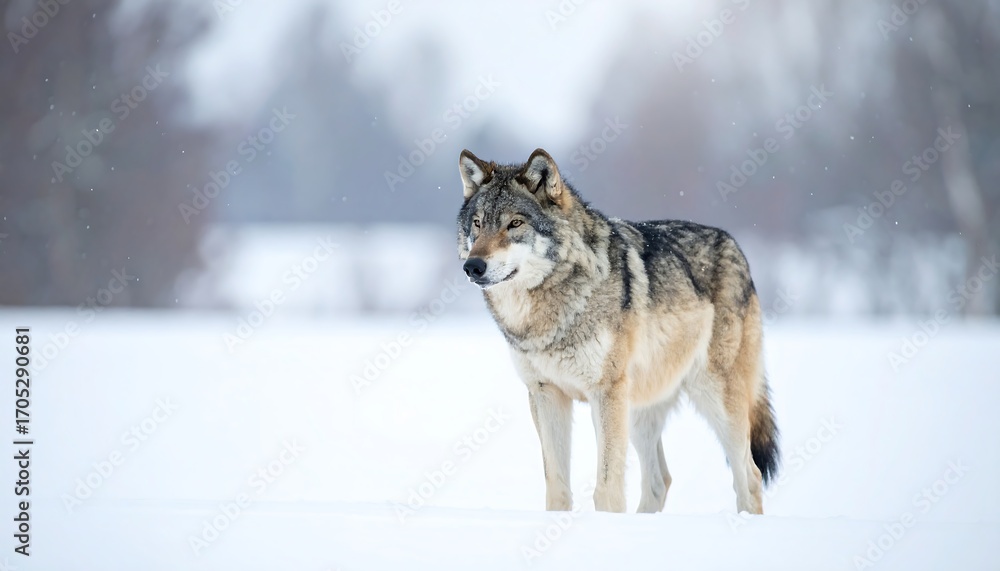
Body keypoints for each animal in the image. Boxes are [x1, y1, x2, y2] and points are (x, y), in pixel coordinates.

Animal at [455, 148, 779, 514]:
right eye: (477, 224)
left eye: (515, 224)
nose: (472, 266)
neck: (544, 316)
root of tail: (735, 245)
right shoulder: (545, 393)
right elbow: (557, 487)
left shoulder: (605, 392)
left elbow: (607, 489)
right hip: (639, 409)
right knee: (659, 481)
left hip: (713, 396)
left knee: (748, 475)